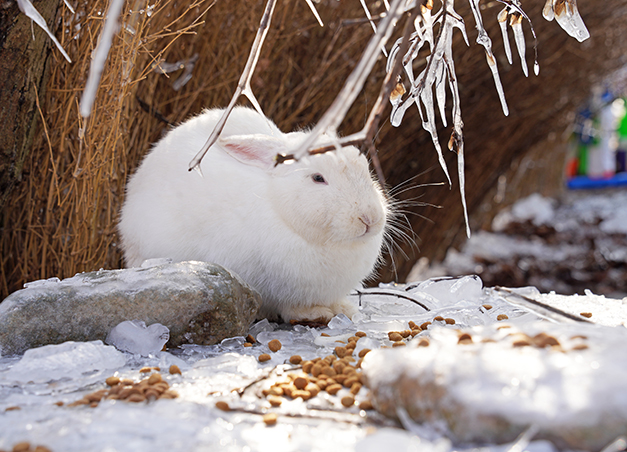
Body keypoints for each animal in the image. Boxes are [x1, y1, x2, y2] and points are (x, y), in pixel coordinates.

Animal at [119, 107, 388, 324]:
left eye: (365, 168)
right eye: (318, 178)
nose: (369, 218)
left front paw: (344, 309)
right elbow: (290, 307)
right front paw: (315, 314)